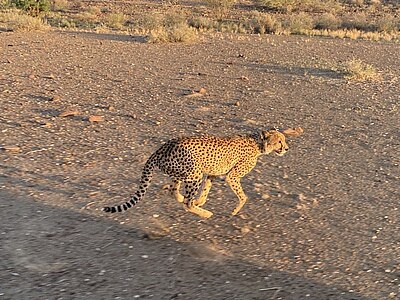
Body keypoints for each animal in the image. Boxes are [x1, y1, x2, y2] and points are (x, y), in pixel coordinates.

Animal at [103, 126, 304, 218]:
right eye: (279, 141)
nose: (286, 148)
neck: (258, 143)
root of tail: (162, 148)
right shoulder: (232, 176)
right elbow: (243, 196)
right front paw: (235, 210)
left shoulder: (213, 173)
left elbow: (206, 189)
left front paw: (201, 200)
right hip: (194, 172)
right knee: (186, 202)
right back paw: (204, 212)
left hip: (184, 171)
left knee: (174, 189)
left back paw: (178, 195)